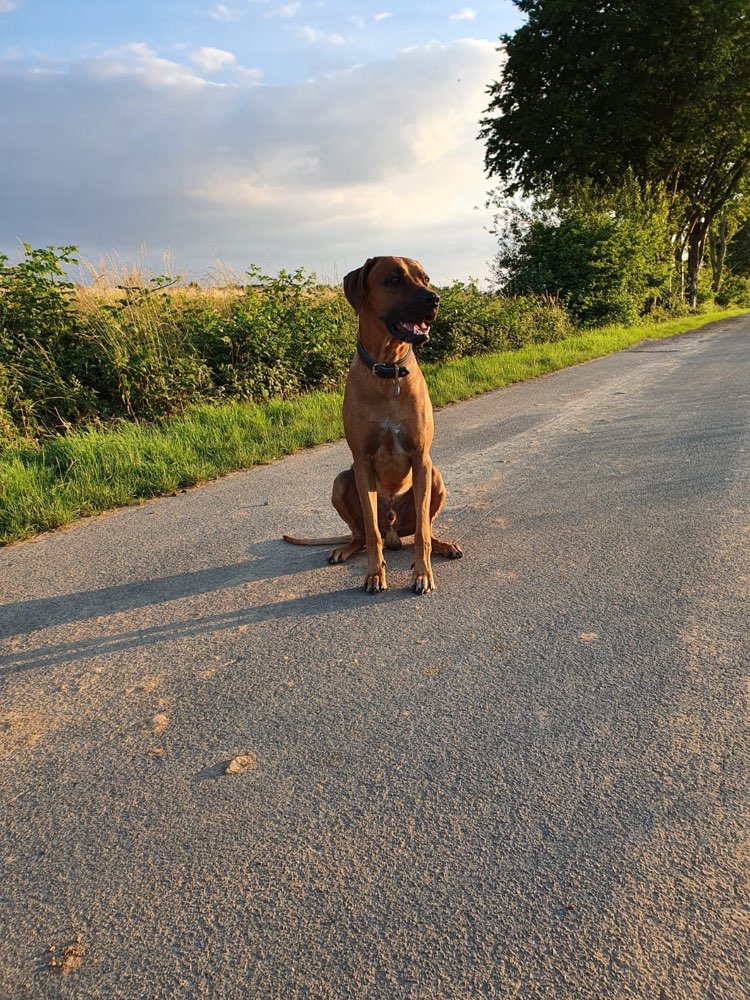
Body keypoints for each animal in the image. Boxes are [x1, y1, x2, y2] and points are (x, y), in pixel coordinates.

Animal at [284, 254, 464, 592]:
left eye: (425, 278)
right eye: (394, 279)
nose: (434, 298)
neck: (388, 370)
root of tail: (396, 532)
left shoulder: (421, 458)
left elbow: (422, 531)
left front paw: (423, 573)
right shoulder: (362, 461)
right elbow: (370, 529)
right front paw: (375, 574)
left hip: (435, 476)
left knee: (423, 528)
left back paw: (443, 545)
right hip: (342, 481)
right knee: (363, 535)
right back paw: (345, 548)